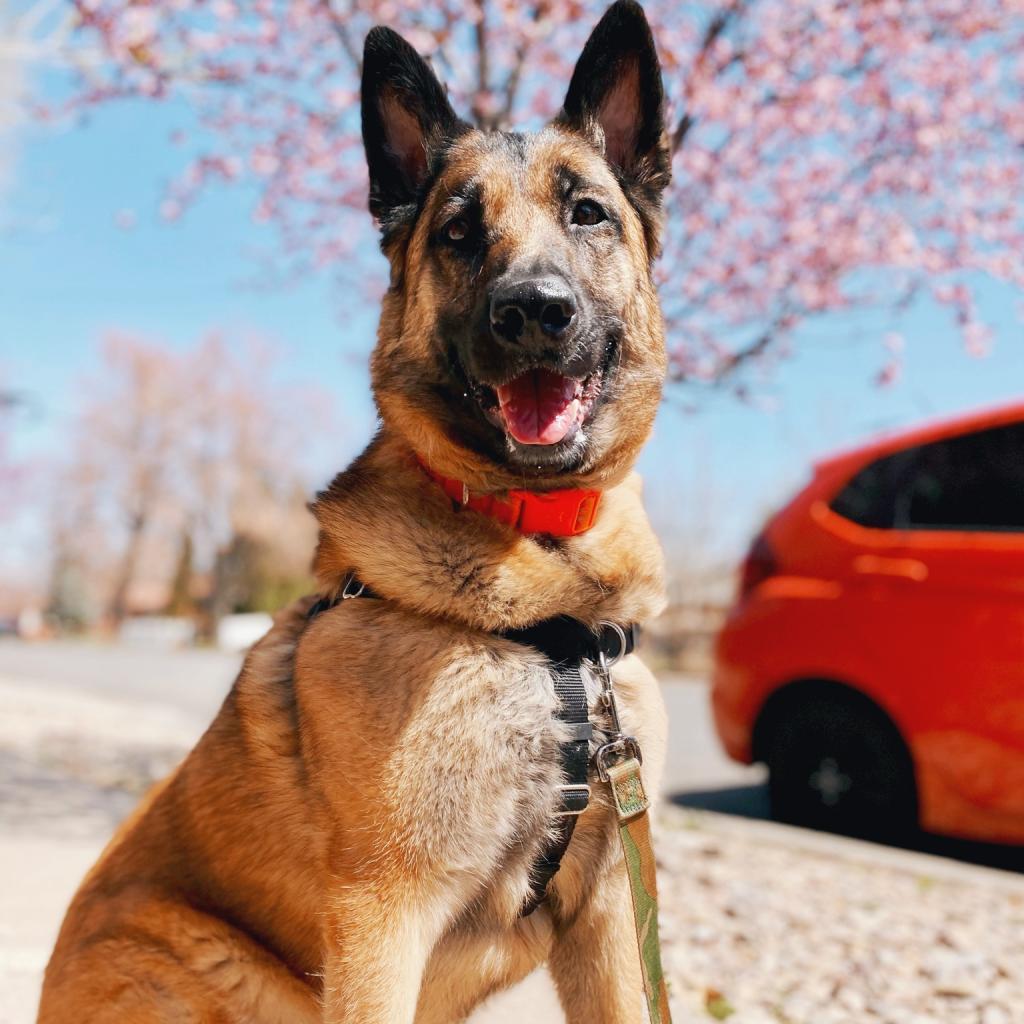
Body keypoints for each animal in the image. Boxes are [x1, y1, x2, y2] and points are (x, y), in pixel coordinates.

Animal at [37, 4, 671, 1019]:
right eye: (459, 231)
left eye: (587, 213)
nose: (534, 312)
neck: (553, 628)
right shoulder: (382, 915)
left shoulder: (609, 920)